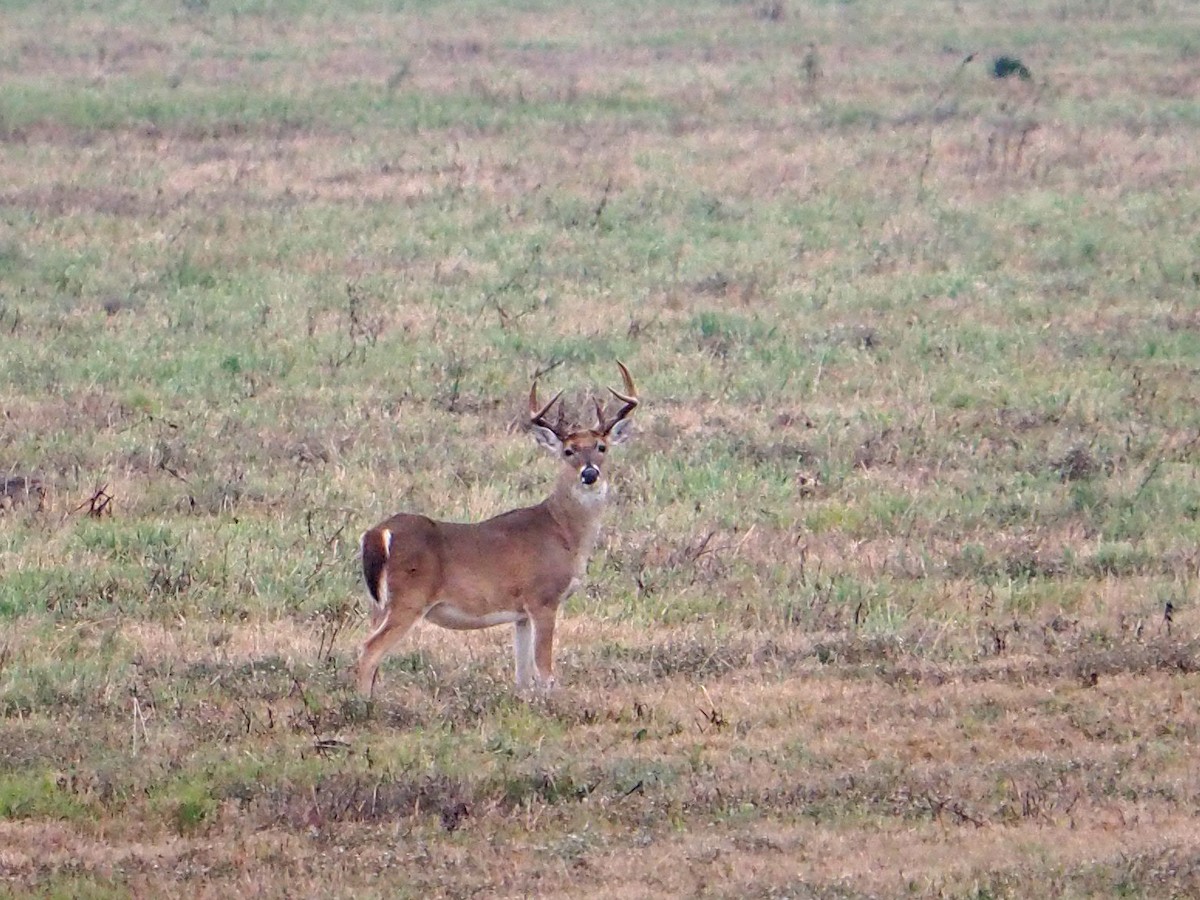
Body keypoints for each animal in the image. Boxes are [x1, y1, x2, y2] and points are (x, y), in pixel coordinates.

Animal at [356, 362, 639, 698]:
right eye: (568, 451)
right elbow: (545, 671)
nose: (590, 473)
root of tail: (378, 533)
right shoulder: (543, 597)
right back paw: (363, 705)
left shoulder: (520, 613)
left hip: (378, 603)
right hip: (408, 599)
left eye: (601, 447)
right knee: (369, 651)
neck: (563, 532)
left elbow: (522, 674)